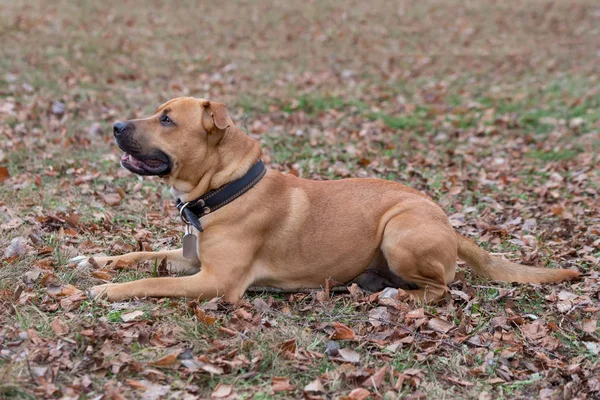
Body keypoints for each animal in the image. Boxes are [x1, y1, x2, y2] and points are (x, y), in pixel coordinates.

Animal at [72, 97, 580, 304]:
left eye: (167, 120)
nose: (115, 126)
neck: (225, 187)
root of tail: (449, 226)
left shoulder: (215, 282)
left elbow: (148, 281)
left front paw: (108, 290)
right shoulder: (192, 261)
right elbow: (143, 255)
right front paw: (97, 260)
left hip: (400, 230)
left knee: (441, 289)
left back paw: (397, 297)